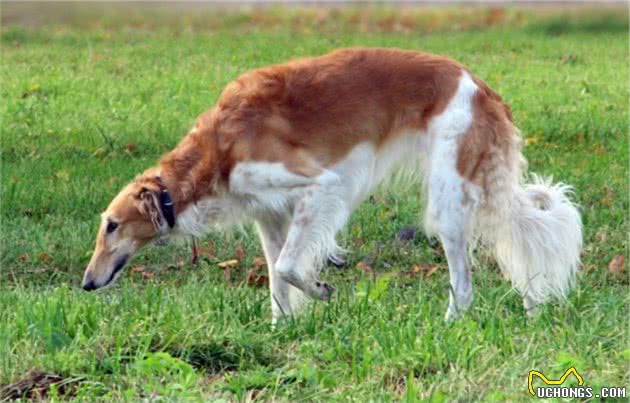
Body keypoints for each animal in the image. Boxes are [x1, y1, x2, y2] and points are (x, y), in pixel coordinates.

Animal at [81, 47, 584, 324]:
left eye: (111, 226)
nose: (86, 283)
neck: (217, 150)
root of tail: (482, 86)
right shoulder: (269, 214)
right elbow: (277, 281)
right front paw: (281, 330)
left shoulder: (322, 186)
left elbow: (289, 268)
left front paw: (322, 289)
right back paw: (530, 311)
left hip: (447, 205)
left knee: (463, 287)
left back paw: (449, 326)